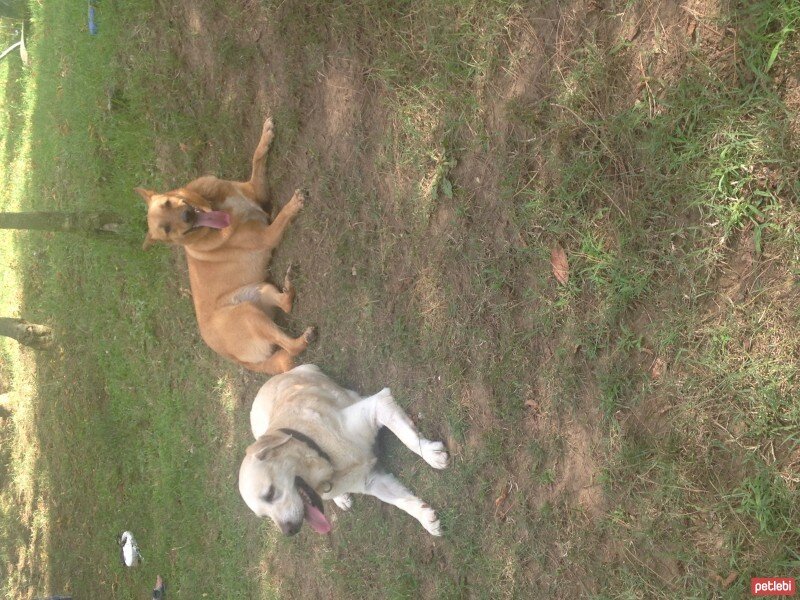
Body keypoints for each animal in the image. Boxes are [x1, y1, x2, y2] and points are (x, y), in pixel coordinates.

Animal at [134, 115, 316, 372]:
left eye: (168, 203)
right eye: (167, 230)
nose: (187, 216)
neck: (216, 205)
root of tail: (237, 360)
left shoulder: (256, 192)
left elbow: (256, 158)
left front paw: (266, 135)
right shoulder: (267, 236)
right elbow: (282, 216)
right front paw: (293, 204)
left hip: (259, 290)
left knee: (286, 304)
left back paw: (289, 285)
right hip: (248, 314)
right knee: (290, 348)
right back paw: (302, 339)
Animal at [238, 364, 450, 536]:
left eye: (270, 493)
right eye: (264, 516)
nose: (289, 532)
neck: (325, 457)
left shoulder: (378, 404)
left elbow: (410, 439)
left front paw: (431, 455)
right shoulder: (370, 480)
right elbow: (401, 501)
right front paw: (424, 516)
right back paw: (341, 499)